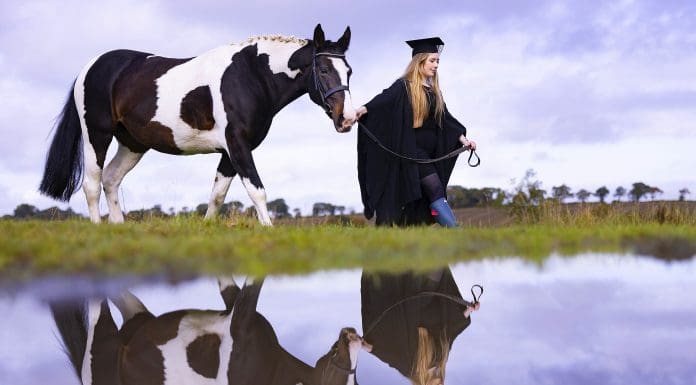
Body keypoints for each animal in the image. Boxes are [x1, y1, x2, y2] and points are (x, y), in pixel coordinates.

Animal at [39, 24, 354, 225]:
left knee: (111, 179)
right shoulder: (238, 145)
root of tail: (90, 67)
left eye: (348, 71)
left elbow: (217, 196)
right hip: (97, 135)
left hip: (132, 143)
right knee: (92, 184)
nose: (347, 118)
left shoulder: (230, 152)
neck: (250, 76)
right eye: (323, 70)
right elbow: (257, 191)